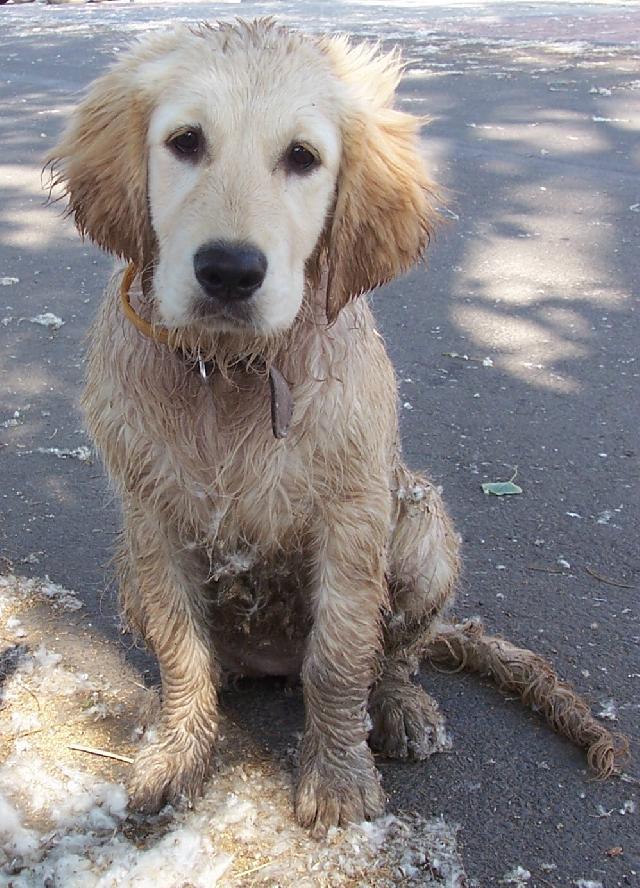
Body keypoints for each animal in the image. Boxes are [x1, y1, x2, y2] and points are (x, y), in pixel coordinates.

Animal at [47, 22, 462, 840]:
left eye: (302, 157)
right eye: (185, 141)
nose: (231, 271)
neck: (229, 370)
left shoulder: (352, 514)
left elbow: (341, 656)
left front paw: (337, 780)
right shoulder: (152, 518)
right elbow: (182, 650)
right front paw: (179, 753)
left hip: (421, 528)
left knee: (395, 652)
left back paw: (402, 706)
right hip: (129, 569)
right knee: (206, 657)